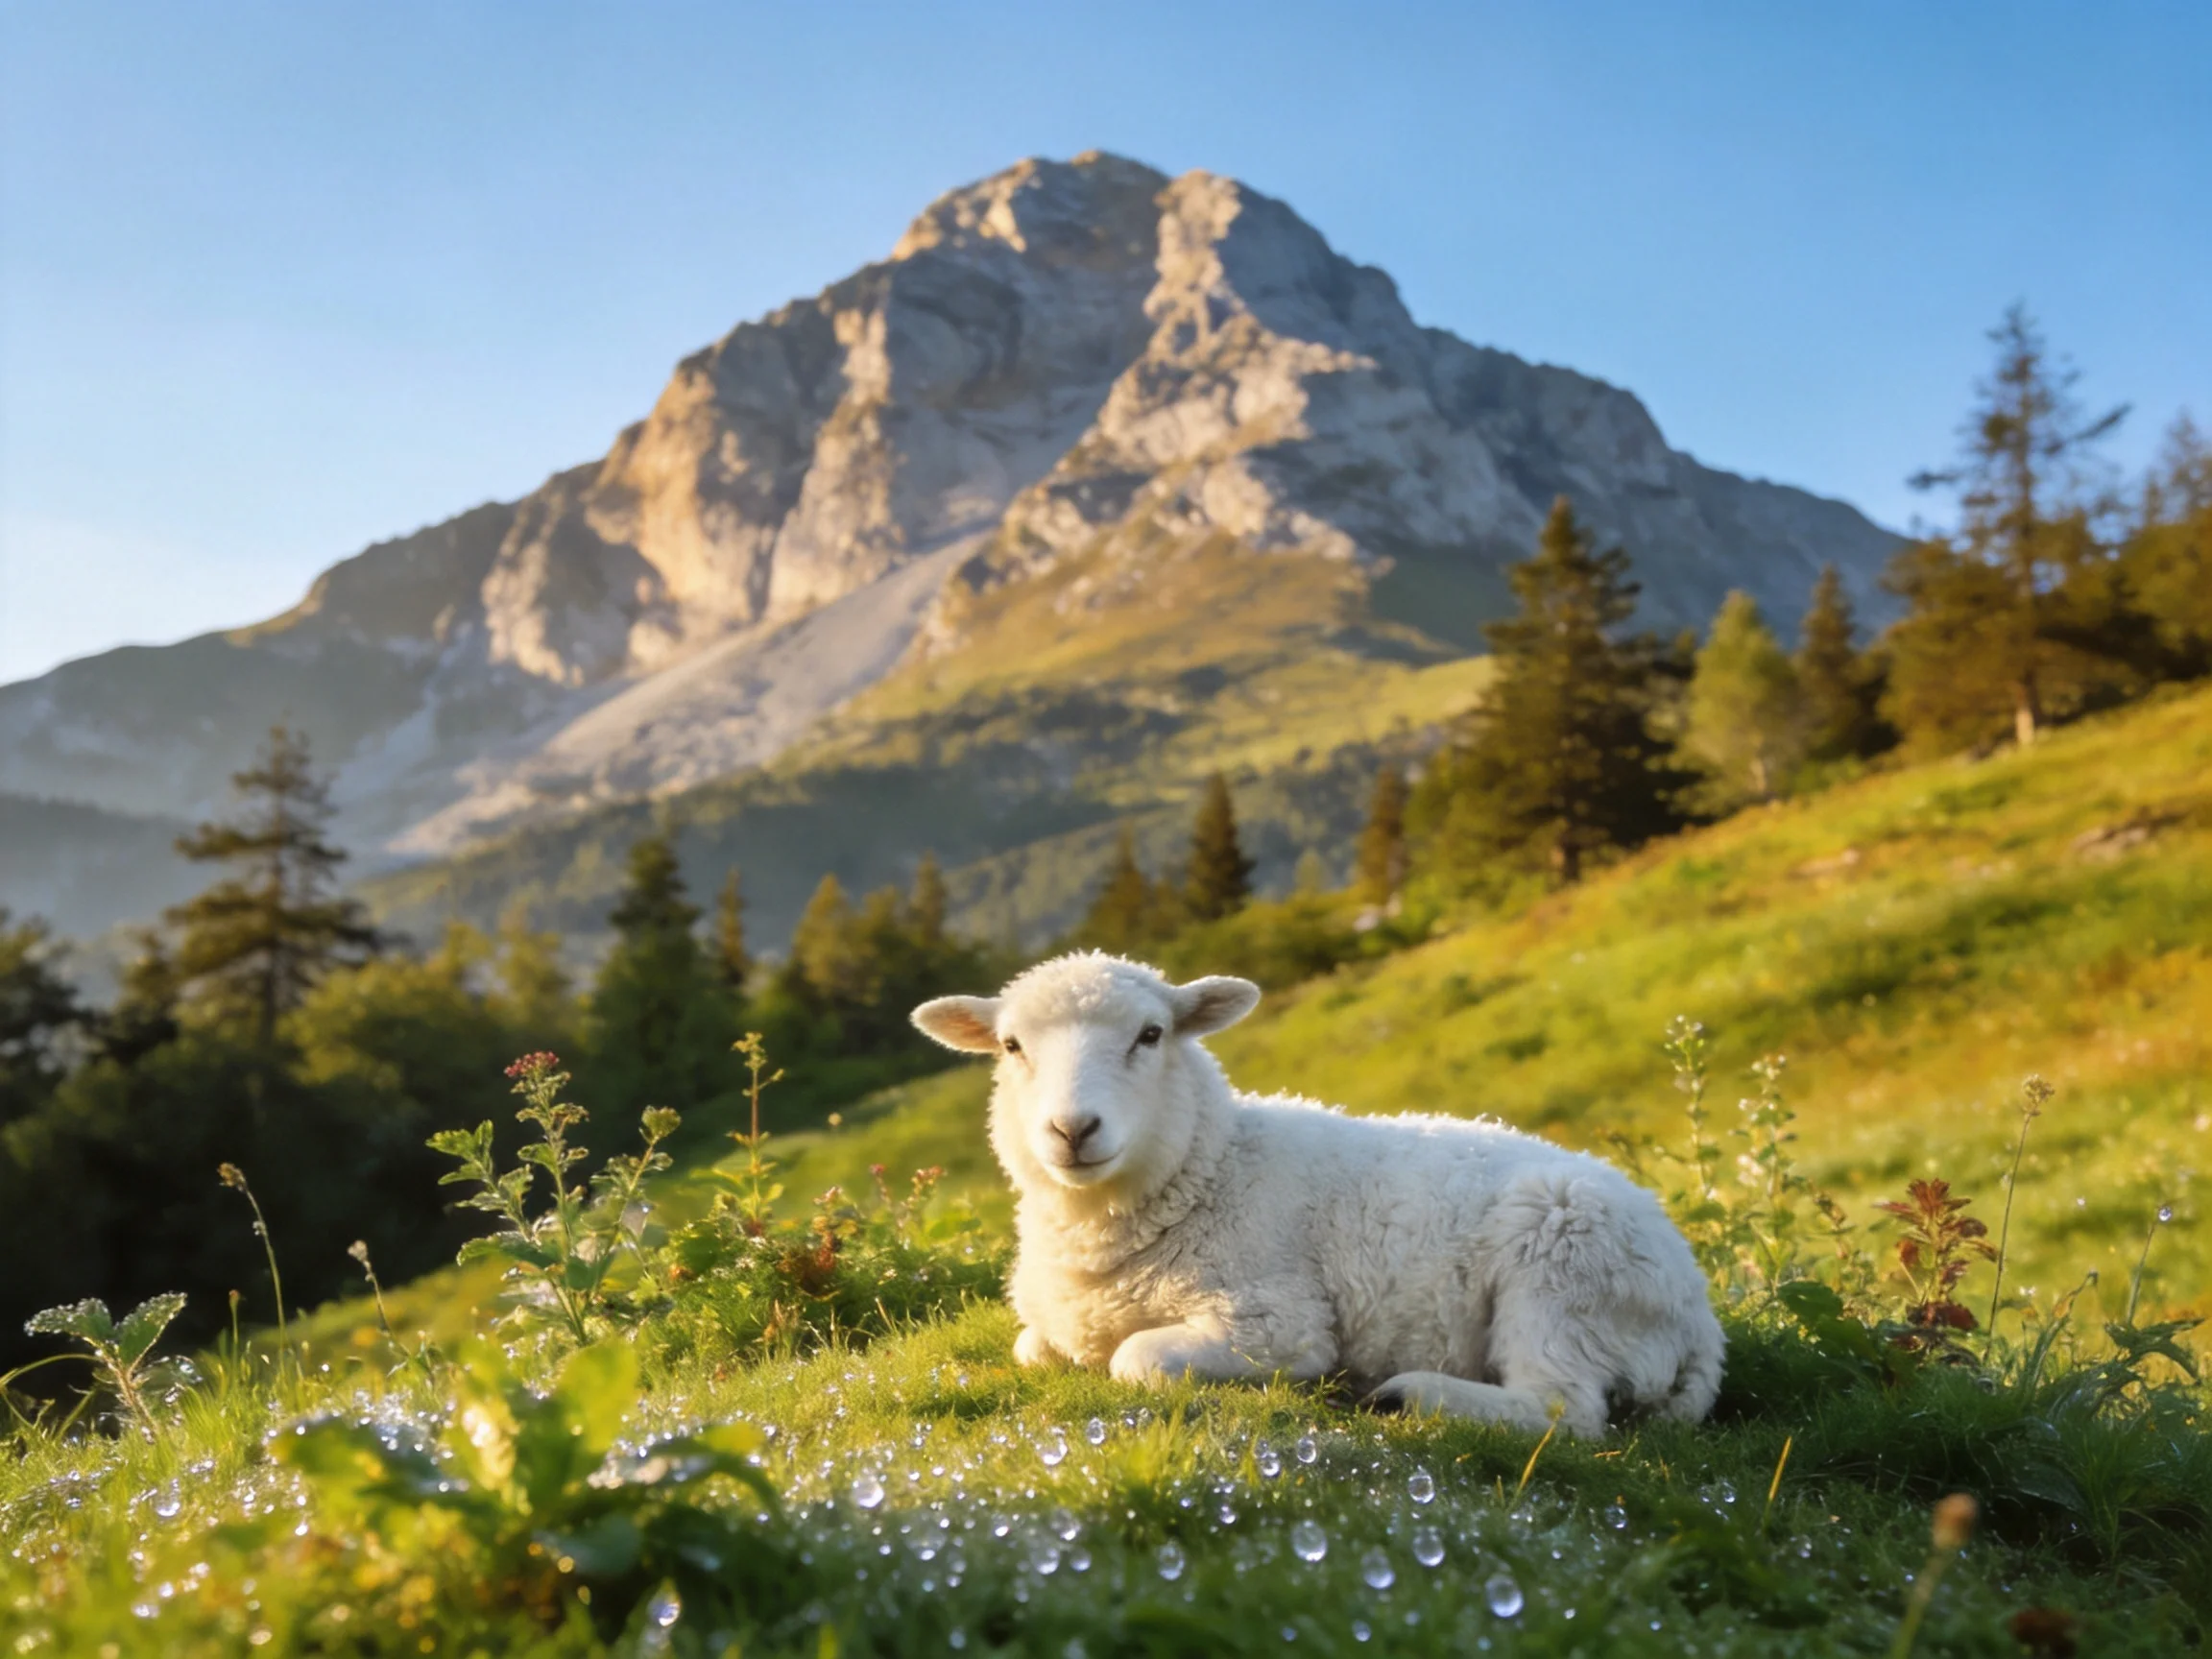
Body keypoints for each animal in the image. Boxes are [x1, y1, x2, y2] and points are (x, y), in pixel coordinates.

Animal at [912, 952, 1723, 1436]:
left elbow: (1135, 1360)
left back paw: (1409, 1393)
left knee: (1564, 1409)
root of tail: (1701, 1321)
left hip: (1562, 1268)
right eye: (1011, 1047)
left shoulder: (1278, 1322)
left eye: (1151, 1034)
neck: (1210, 1169)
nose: (1073, 1129)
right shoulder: (1051, 1330)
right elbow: (1030, 1348)